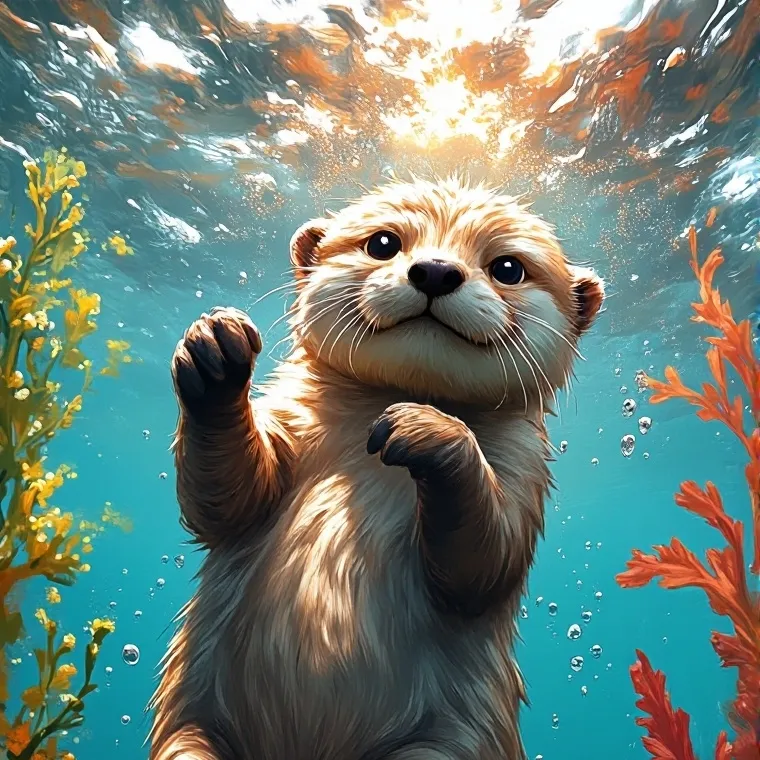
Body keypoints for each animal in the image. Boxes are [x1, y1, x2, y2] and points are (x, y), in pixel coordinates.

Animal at [148, 177, 604, 760]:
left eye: (508, 268)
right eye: (383, 243)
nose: (435, 271)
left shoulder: (525, 469)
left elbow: (487, 560)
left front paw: (428, 429)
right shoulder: (288, 420)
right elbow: (226, 502)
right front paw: (214, 346)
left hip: (447, 744)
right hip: (191, 731)